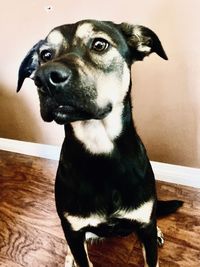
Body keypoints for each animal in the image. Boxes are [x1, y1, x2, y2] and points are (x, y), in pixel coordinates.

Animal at [17, 19, 183, 266]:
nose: (44, 77)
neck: (100, 149)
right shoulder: (73, 230)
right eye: (45, 55)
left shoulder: (144, 224)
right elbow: (81, 255)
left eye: (99, 44)